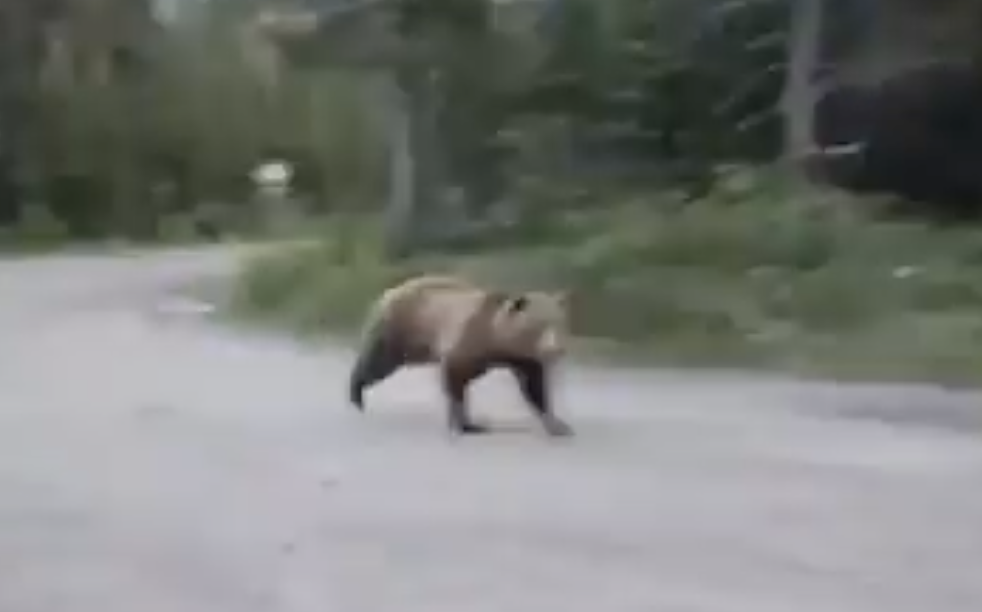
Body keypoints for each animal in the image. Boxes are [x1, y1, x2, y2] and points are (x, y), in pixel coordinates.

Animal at [347, 274, 574, 437]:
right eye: (539, 325)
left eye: (559, 322)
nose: (557, 349)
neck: (497, 339)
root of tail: (390, 291)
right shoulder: (467, 341)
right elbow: (454, 378)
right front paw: (464, 424)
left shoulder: (523, 358)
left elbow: (535, 387)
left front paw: (559, 425)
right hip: (398, 329)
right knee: (377, 363)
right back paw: (356, 395)